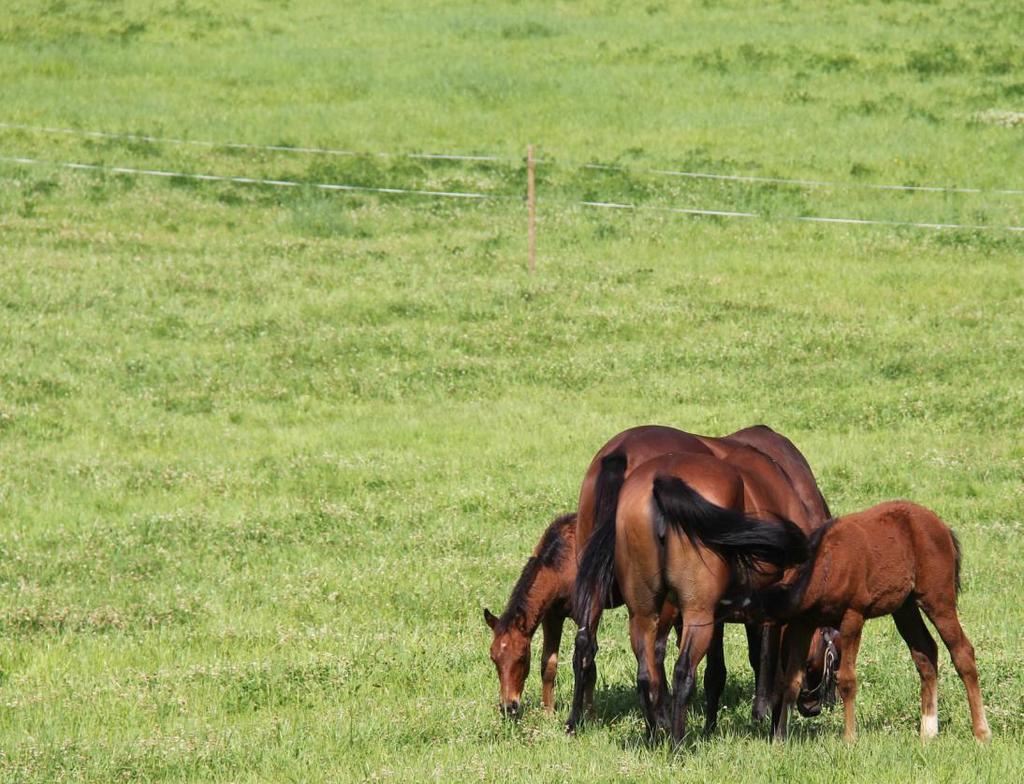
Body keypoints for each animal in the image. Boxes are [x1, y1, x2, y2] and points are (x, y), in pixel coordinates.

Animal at [569, 423, 831, 736]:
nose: (816, 706)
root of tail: (620, 452)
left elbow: (718, 670)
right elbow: (767, 660)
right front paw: (766, 715)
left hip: (612, 594)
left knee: (591, 647)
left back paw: (581, 721)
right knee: (668, 661)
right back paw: (668, 727)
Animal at [761, 499, 991, 745]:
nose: (810, 708)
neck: (827, 566)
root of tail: (942, 527)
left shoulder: (853, 618)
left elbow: (847, 680)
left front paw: (850, 738)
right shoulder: (803, 625)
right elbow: (791, 682)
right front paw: (780, 739)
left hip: (938, 602)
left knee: (962, 652)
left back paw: (981, 732)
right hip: (905, 609)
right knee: (926, 654)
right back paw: (928, 732)